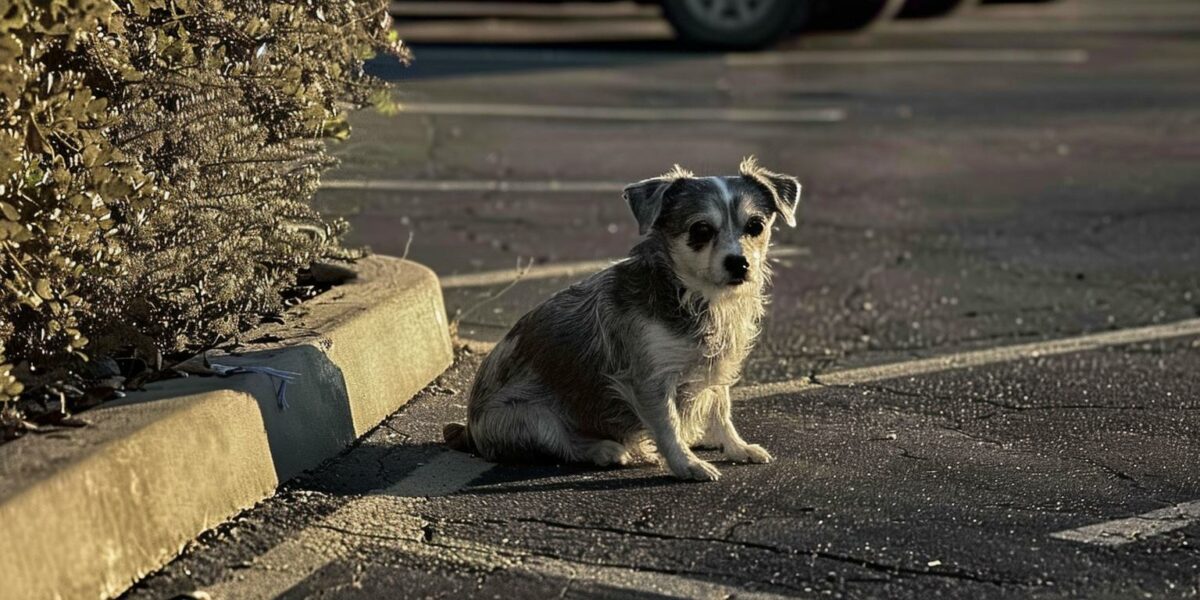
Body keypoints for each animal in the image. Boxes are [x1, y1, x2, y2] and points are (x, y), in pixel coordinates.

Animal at [446, 159, 801, 482]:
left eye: (755, 226)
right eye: (700, 230)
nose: (739, 263)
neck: (691, 294)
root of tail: (470, 431)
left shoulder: (715, 364)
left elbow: (720, 408)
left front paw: (736, 447)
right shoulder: (649, 381)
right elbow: (669, 425)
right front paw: (686, 465)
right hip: (534, 417)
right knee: (563, 445)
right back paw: (605, 449)